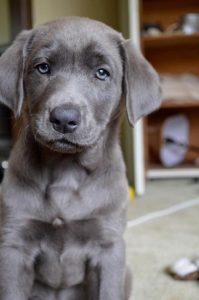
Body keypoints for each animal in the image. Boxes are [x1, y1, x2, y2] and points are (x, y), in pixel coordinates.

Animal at [0, 17, 160, 300]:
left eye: (102, 73)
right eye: (43, 68)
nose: (64, 118)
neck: (67, 170)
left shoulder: (108, 245)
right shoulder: (13, 245)